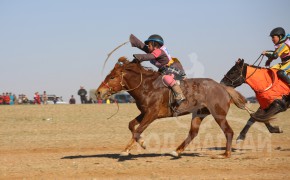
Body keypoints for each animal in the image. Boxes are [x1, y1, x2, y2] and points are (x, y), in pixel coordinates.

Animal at [96, 56, 246, 158]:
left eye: (112, 77)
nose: (98, 92)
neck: (147, 86)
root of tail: (223, 87)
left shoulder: (152, 114)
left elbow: (138, 130)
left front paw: (132, 147)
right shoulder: (144, 113)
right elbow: (131, 125)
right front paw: (135, 145)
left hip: (218, 115)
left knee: (229, 132)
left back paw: (226, 154)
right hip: (199, 113)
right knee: (193, 132)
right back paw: (176, 151)